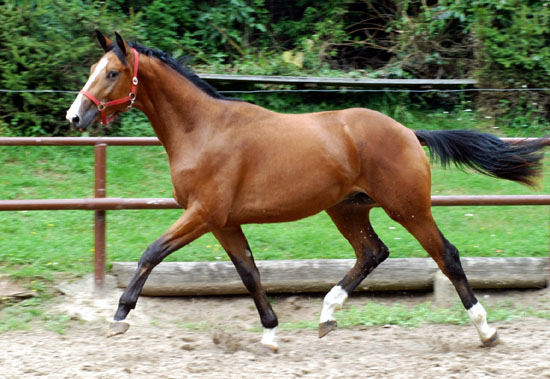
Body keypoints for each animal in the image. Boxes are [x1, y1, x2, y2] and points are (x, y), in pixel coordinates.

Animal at [67, 31, 544, 352]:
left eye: (112, 72)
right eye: (92, 70)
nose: (75, 117)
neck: (202, 130)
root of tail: (408, 132)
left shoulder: (203, 213)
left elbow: (151, 252)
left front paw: (119, 317)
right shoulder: (223, 222)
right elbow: (249, 272)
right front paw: (271, 333)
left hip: (407, 208)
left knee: (446, 255)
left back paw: (486, 330)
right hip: (348, 209)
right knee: (372, 253)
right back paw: (326, 316)